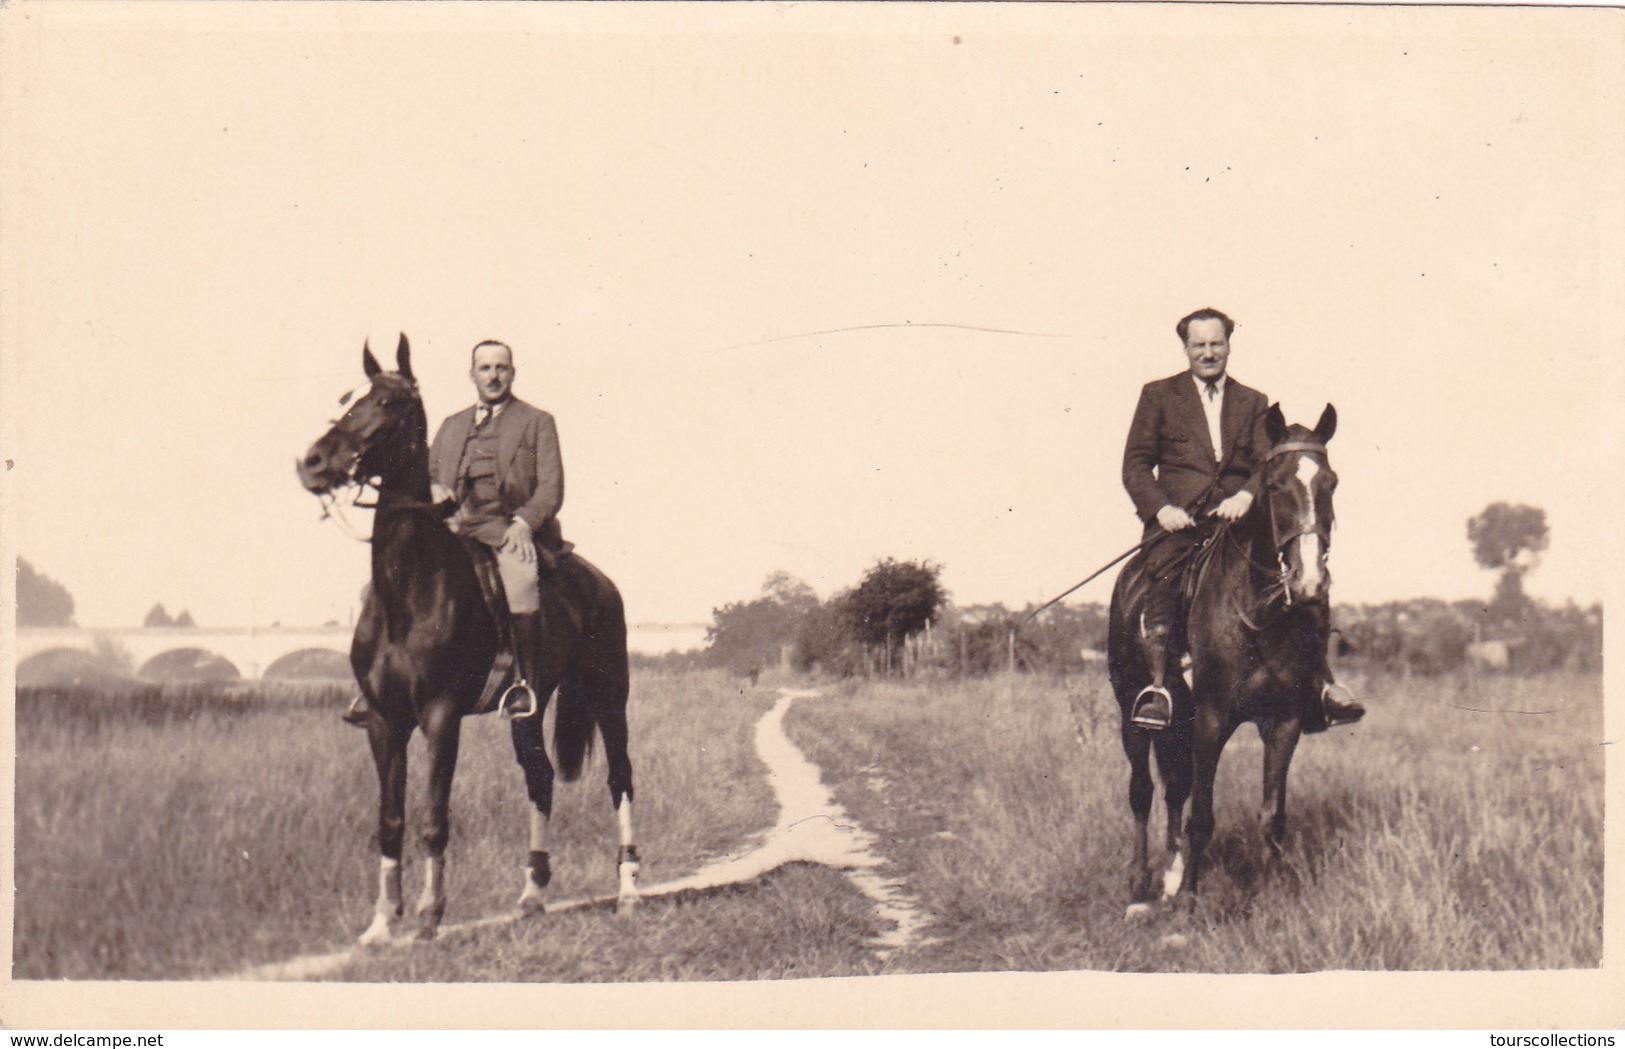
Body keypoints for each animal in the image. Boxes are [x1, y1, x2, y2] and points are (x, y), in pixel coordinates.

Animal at [1111, 407, 1339, 915]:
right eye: (1274, 485)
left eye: (1331, 482)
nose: (1310, 584)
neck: (1259, 615)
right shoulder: (1212, 719)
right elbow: (1201, 815)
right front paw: (1189, 902)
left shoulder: (1284, 722)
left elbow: (1272, 815)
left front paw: (1272, 897)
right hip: (1133, 712)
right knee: (1143, 791)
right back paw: (1137, 884)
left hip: (1179, 720)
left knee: (1174, 787)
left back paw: (1169, 874)